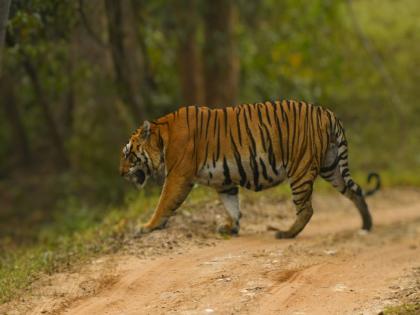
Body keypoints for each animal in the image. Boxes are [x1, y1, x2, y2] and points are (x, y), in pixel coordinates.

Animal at [119, 100, 380, 238]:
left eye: (129, 154)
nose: (120, 173)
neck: (162, 136)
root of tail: (327, 112)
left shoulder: (177, 176)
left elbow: (164, 203)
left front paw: (147, 226)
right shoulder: (224, 181)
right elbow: (232, 206)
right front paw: (230, 227)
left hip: (300, 169)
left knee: (307, 209)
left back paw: (286, 233)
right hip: (331, 166)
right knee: (354, 193)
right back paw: (366, 226)